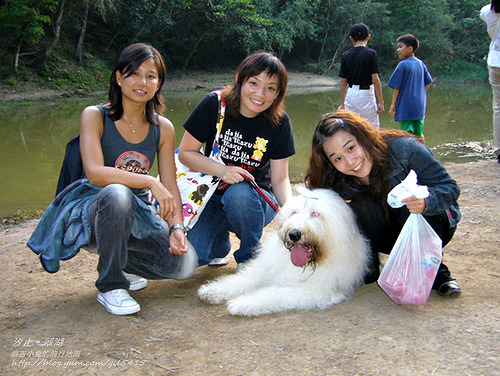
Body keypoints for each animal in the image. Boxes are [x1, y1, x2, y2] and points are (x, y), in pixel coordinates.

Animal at [197, 187, 370, 316]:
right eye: (294, 212)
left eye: (315, 214)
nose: (294, 234)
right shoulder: (265, 269)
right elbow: (242, 279)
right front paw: (212, 291)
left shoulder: (313, 289)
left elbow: (273, 294)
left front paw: (242, 303)